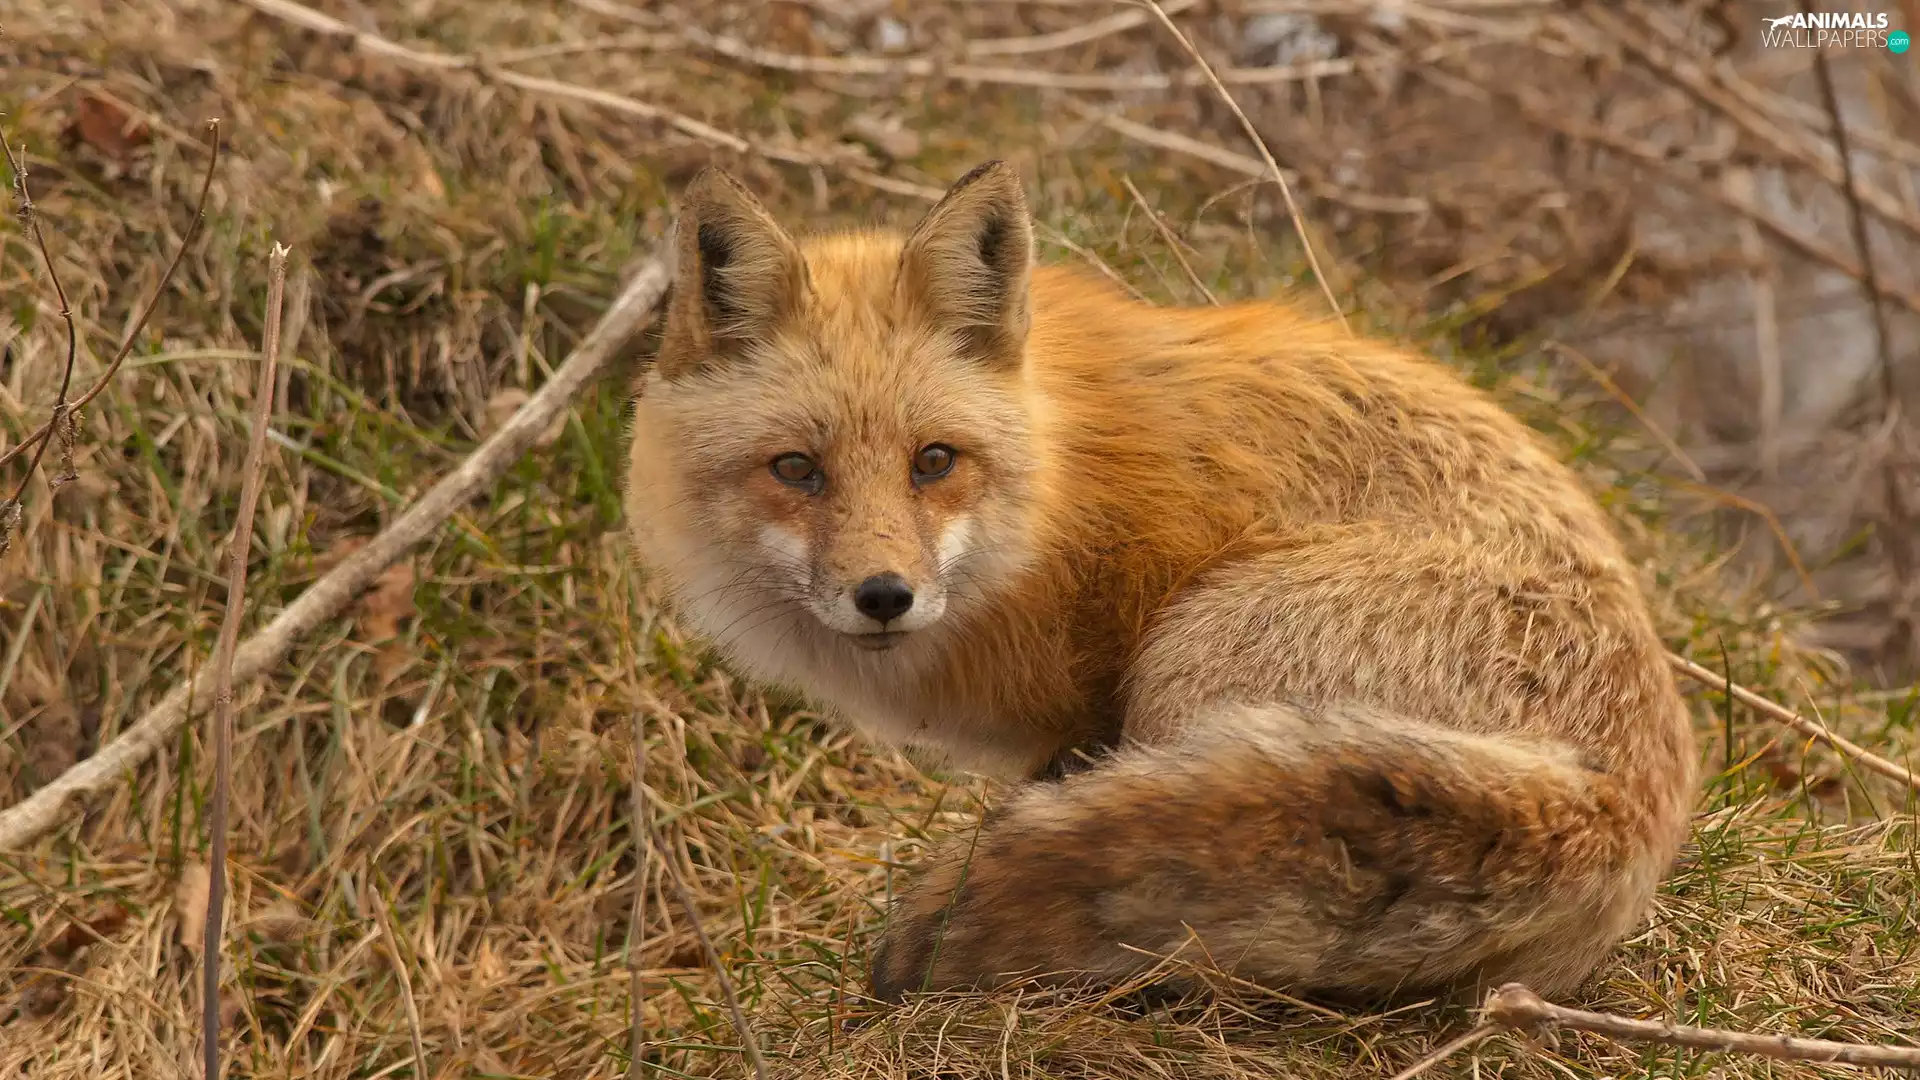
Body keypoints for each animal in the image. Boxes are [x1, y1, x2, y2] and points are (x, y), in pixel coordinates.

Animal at [620, 160, 1699, 1008]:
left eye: (934, 461)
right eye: (796, 470)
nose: (885, 595)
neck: (1057, 498)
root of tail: (1620, 803)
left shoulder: (1090, 707)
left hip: (1191, 661)